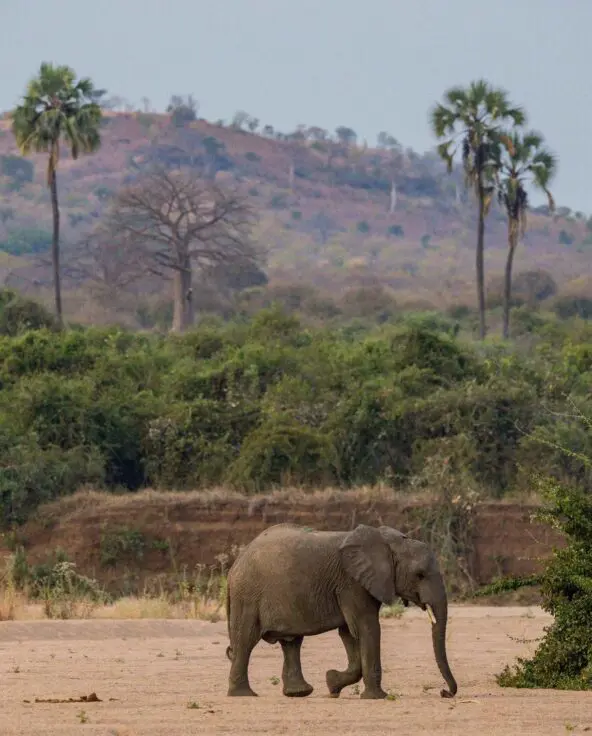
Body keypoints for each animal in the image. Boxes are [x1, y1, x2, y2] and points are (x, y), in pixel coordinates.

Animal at [225, 522, 457, 700]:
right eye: (420, 575)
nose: (444, 692)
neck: (387, 542)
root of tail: (235, 565)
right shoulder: (351, 583)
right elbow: (367, 628)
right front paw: (377, 698)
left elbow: (349, 633)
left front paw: (332, 684)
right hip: (247, 595)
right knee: (246, 640)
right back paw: (243, 695)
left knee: (291, 643)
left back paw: (298, 693)